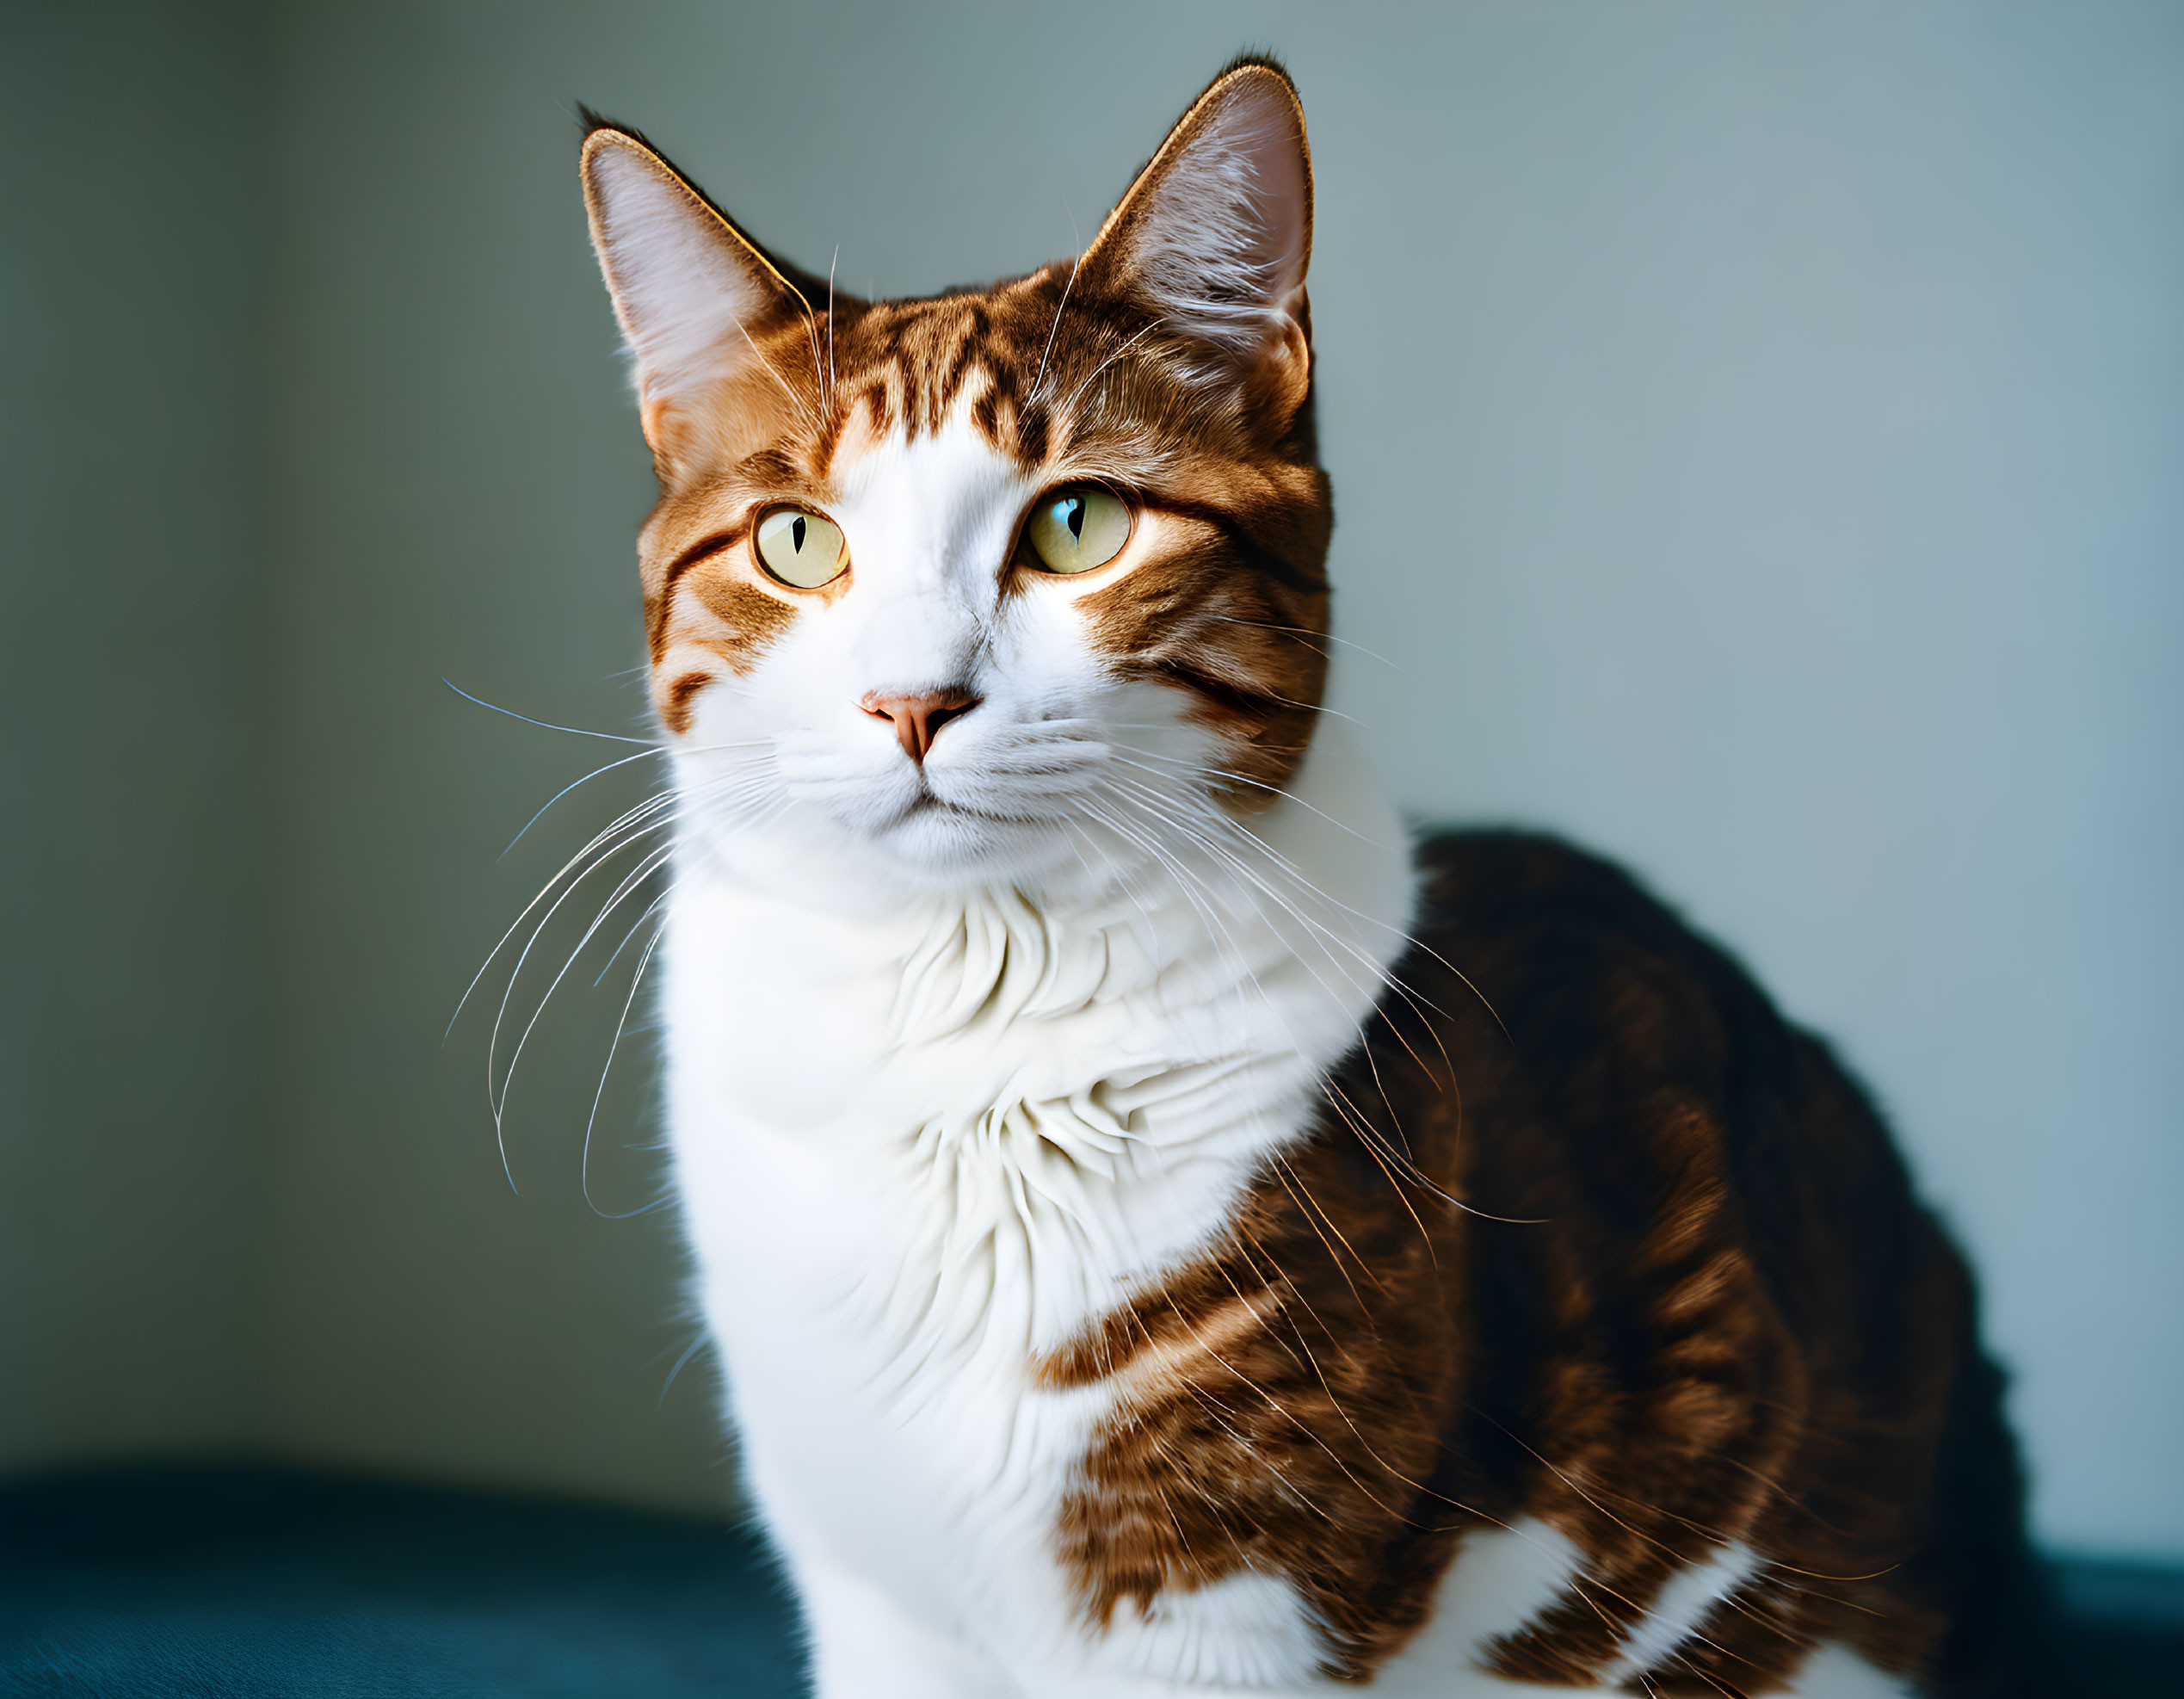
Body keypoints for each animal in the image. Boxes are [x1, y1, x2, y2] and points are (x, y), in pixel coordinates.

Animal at [571, 53, 2035, 1694]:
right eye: (795, 541)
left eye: (1076, 521)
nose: (911, 699)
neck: (959, 1029)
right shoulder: (872, 1585)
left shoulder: (1223, 1593)